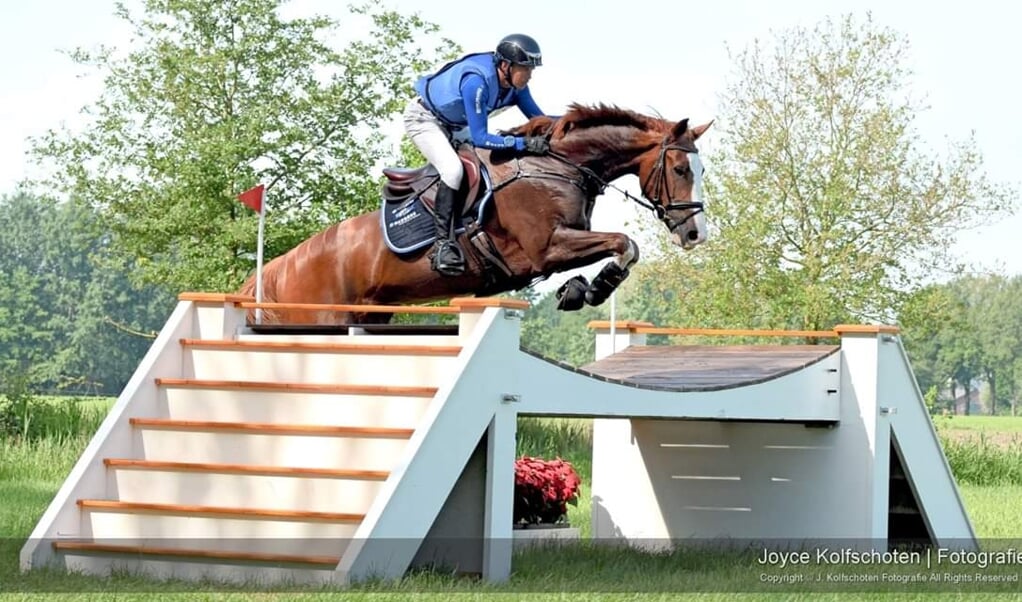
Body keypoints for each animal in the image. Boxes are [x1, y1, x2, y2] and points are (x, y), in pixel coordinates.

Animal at [241, 102, 711, 322]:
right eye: (680, 168)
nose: (695, 235)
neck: (558, 166)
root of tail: (281, 268)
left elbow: (625, 247)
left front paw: (580, 289)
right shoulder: (546, 249)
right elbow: (624, 242)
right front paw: (592, 289)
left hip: (369, 313)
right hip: (321, 315)